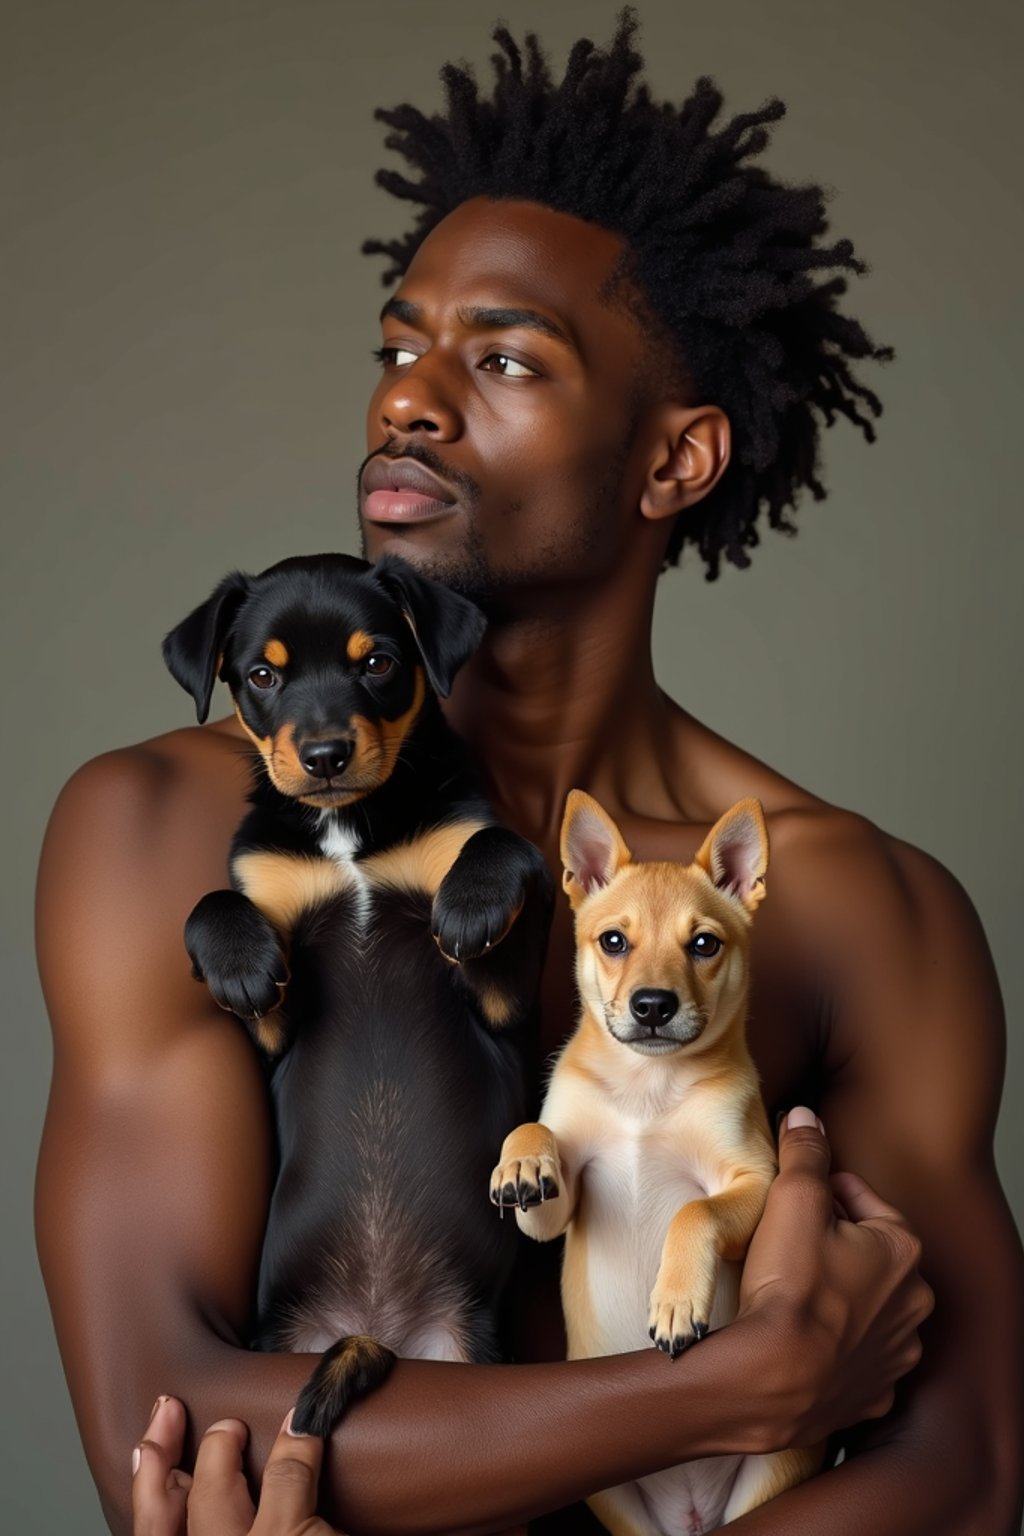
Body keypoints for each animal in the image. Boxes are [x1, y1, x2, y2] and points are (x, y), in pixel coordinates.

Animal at [164, 556, 549, 1437]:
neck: (349, 833)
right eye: (262, 676)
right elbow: (214, 901)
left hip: (472, 1349)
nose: (326, 754)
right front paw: (237, 963)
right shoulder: (275, 1018)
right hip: (282, 1339)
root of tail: (379, 1328)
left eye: (376, 662)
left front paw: (471, 901)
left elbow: (500, 844)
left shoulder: (499, 1002)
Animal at [491, 798, 822, 1529]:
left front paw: (675, 1302)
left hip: (772, 1473)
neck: (648, 1082)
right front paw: (521, 1165)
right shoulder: (559, 1207)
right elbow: (534, 1130)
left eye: (704, 945)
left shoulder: (755, 1180)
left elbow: (694, 1211)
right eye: (614, 942)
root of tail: (689, 1512)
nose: (651, 1006)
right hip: (610, 1492)